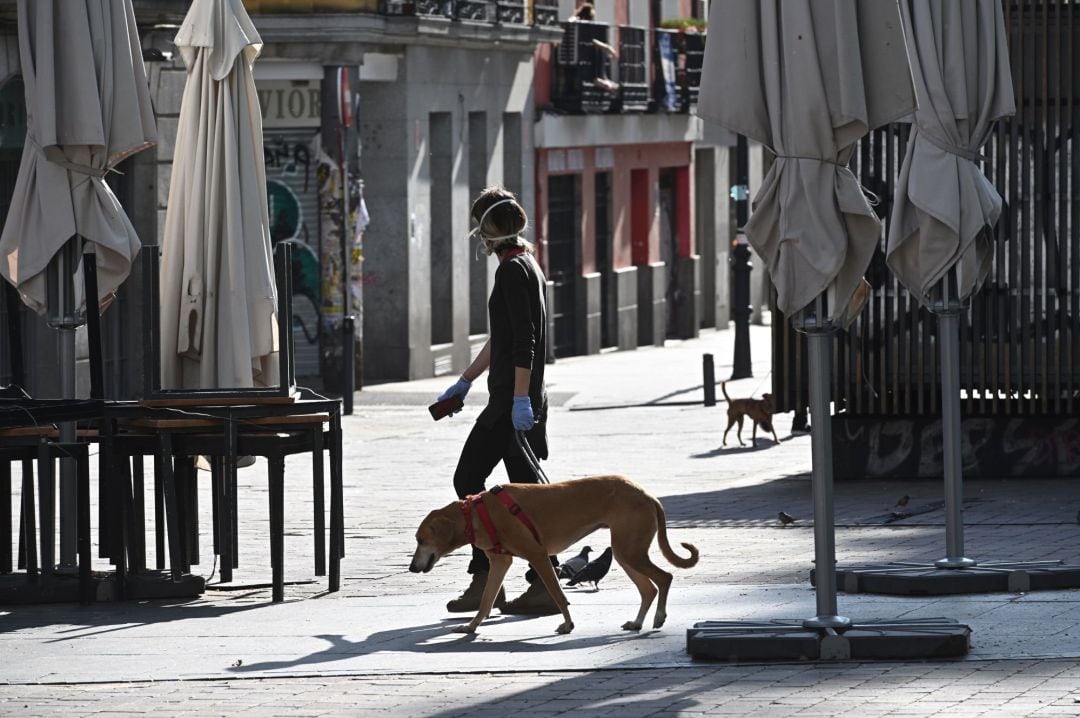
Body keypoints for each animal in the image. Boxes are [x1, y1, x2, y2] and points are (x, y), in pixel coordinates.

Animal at [406, 475, 699, 634]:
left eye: (421, 540)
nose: (410, 568)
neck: (475, 512)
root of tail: (648, 495)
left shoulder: (538, 556)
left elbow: (558, 595)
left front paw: (567, 624)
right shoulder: (500, 562)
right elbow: (486, 601)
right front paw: (471, 627)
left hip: (630, 550)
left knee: (664, 578)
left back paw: (659, 617)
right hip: (625, 552)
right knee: (649, 589)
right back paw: (637, 622)